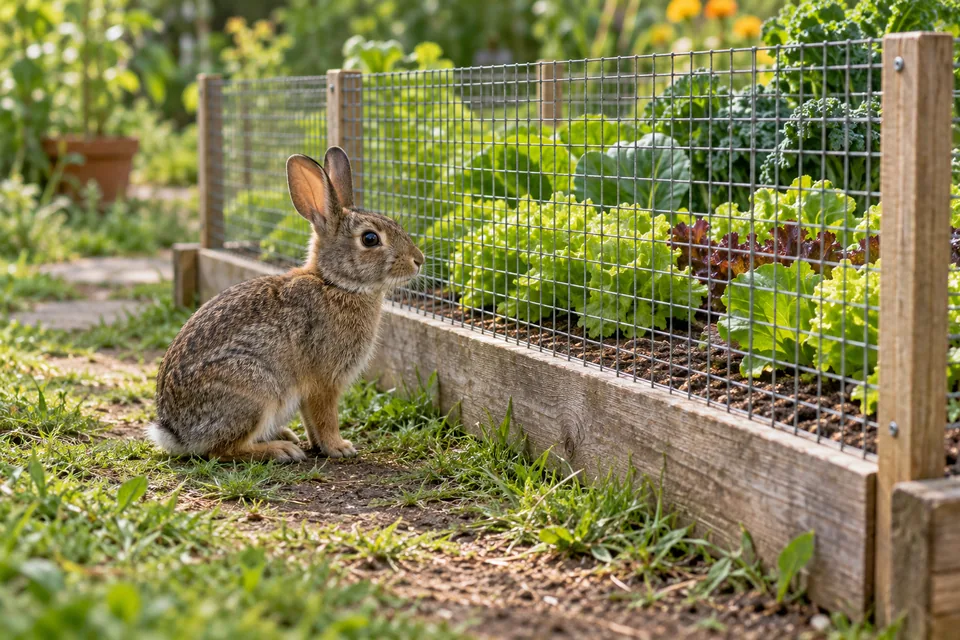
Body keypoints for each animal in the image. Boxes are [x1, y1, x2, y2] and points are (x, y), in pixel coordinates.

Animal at [150, 147, 424, 462]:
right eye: (370, 239)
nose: (419, 260)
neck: (334, 283)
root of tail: (174, 432)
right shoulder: (324, 381)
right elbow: (325, 416)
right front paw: (340, 447)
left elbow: (311, 419)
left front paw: (323, 446)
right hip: (256, 390)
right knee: (222, 450)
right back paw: (280, 449)